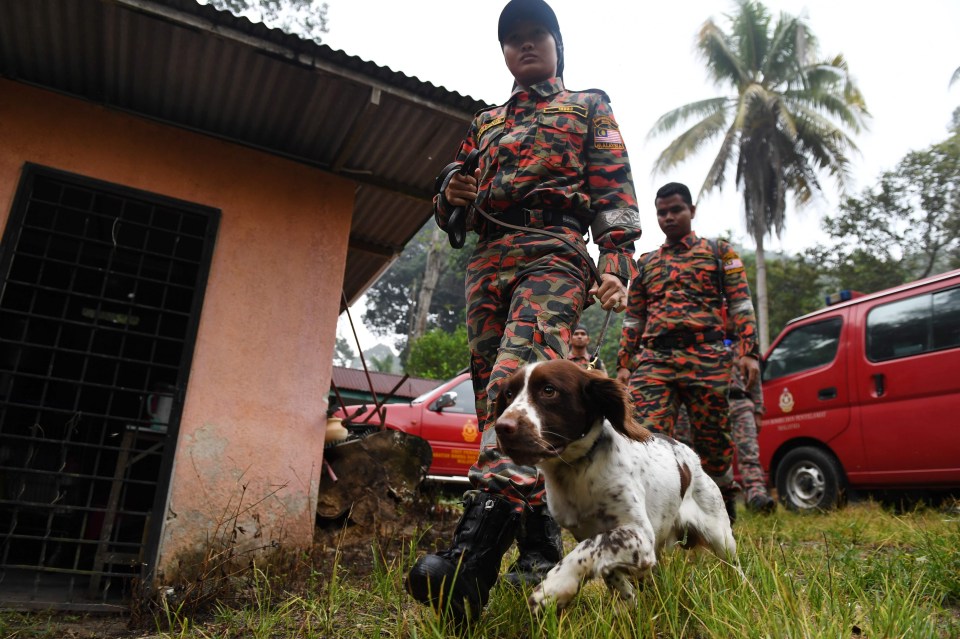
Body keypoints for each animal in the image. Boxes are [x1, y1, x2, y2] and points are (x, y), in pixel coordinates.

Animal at [496, 360, 736, 616]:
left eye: (549, 390)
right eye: (508, 394)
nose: (502, 427)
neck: (577, 470)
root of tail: (690, 454)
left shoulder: (640, 534)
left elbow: (592, 547)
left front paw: (553, 589)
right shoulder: (588, 531)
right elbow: (607, 566)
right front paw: (627, 603)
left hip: (721, 536)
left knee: (734, 567)